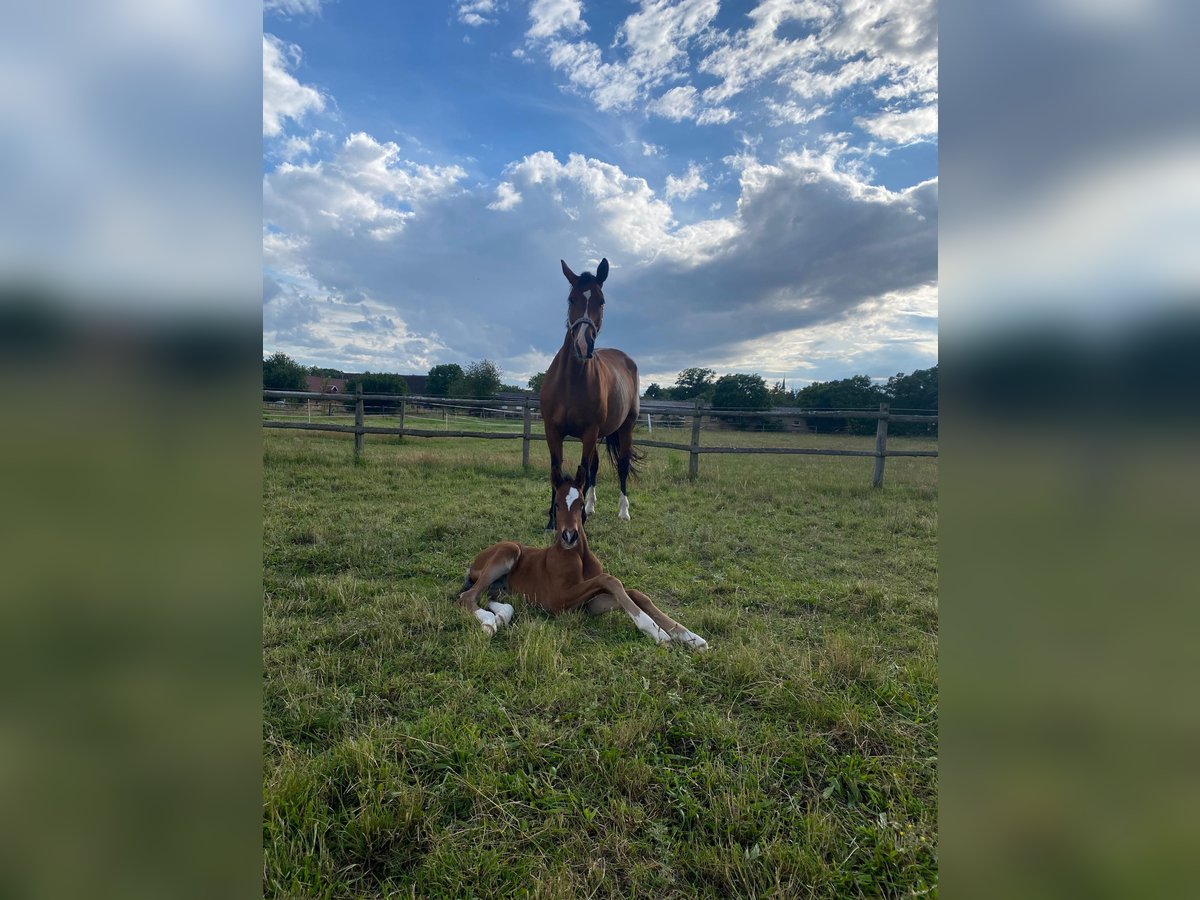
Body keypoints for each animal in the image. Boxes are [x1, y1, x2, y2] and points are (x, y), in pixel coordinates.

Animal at [456, 468, 700, 652]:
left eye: (582, 503)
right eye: (556, 504)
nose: (569, 536)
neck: (579, 556)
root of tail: (476, 560)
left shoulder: (589, 605)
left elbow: (634, 593)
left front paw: (690, 636)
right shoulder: (559, 600)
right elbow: (610, 579)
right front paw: (655, 630)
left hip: (503, 586)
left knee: (491, 597)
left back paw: (500, 617)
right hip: (509, 550)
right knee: (466, 596)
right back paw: (489, 622)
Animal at [540, 256, 643, 532]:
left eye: (601, 300)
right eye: (571, 299)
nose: (583, 345)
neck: (570, 383)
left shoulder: (588, 432)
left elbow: (583, 472)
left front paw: (579, 520)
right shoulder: (553, 430)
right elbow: (556, 471)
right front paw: (552, 519)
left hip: (625, 428)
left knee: (622, 465)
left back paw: (623, 511)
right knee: (596, 467)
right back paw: (590, 506)